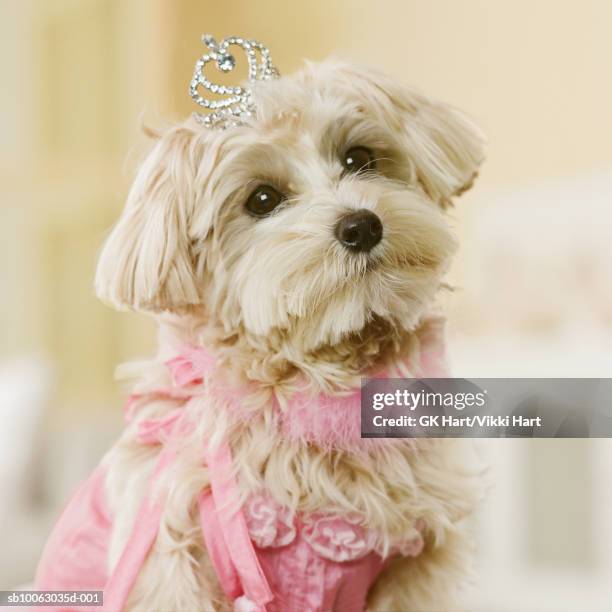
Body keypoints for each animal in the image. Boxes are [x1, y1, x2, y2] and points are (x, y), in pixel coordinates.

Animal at [37, 39, 488, 612]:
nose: (361, 225)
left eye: (359, 158)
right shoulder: (167, 558)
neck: (306, 387)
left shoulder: (421, 568)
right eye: (263, 199)